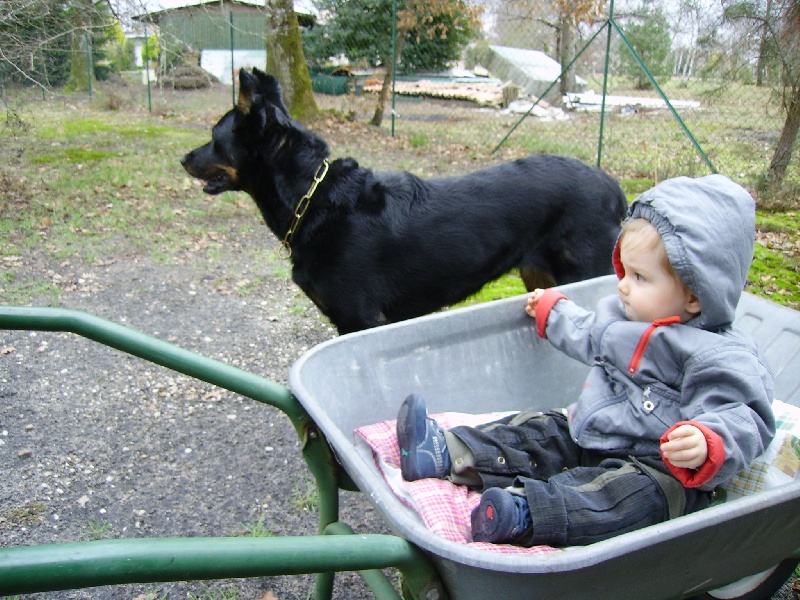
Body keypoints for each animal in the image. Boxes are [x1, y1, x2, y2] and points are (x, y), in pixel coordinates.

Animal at [184, 69, 628, 338]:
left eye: (214, 138)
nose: (184, 159)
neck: (314, 199)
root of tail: (614, 187)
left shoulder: (359, 319)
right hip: (540, 276)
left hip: (588, 272)